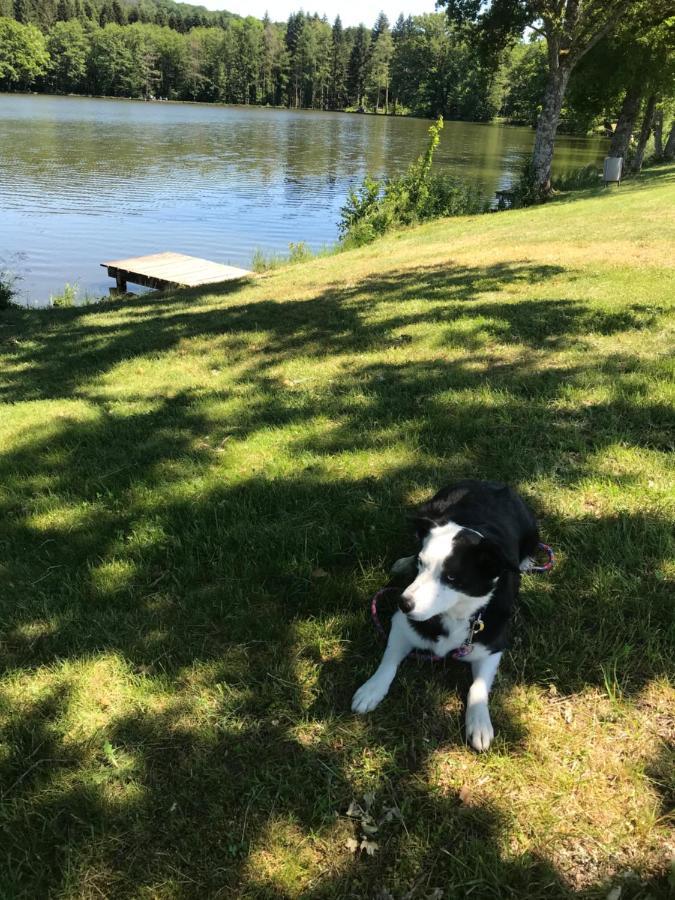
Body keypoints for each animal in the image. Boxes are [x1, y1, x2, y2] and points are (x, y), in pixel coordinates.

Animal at [354, 478, 540, 752]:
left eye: (451, 577)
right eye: (422, 565)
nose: (403, 603)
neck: (456, 615)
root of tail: (488, 483)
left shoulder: (492, 645)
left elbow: (478, 688)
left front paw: (479, 723)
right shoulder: (400, 624)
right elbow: (388, 662)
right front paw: (372, 689)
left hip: (532, 529)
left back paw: (526, 563)